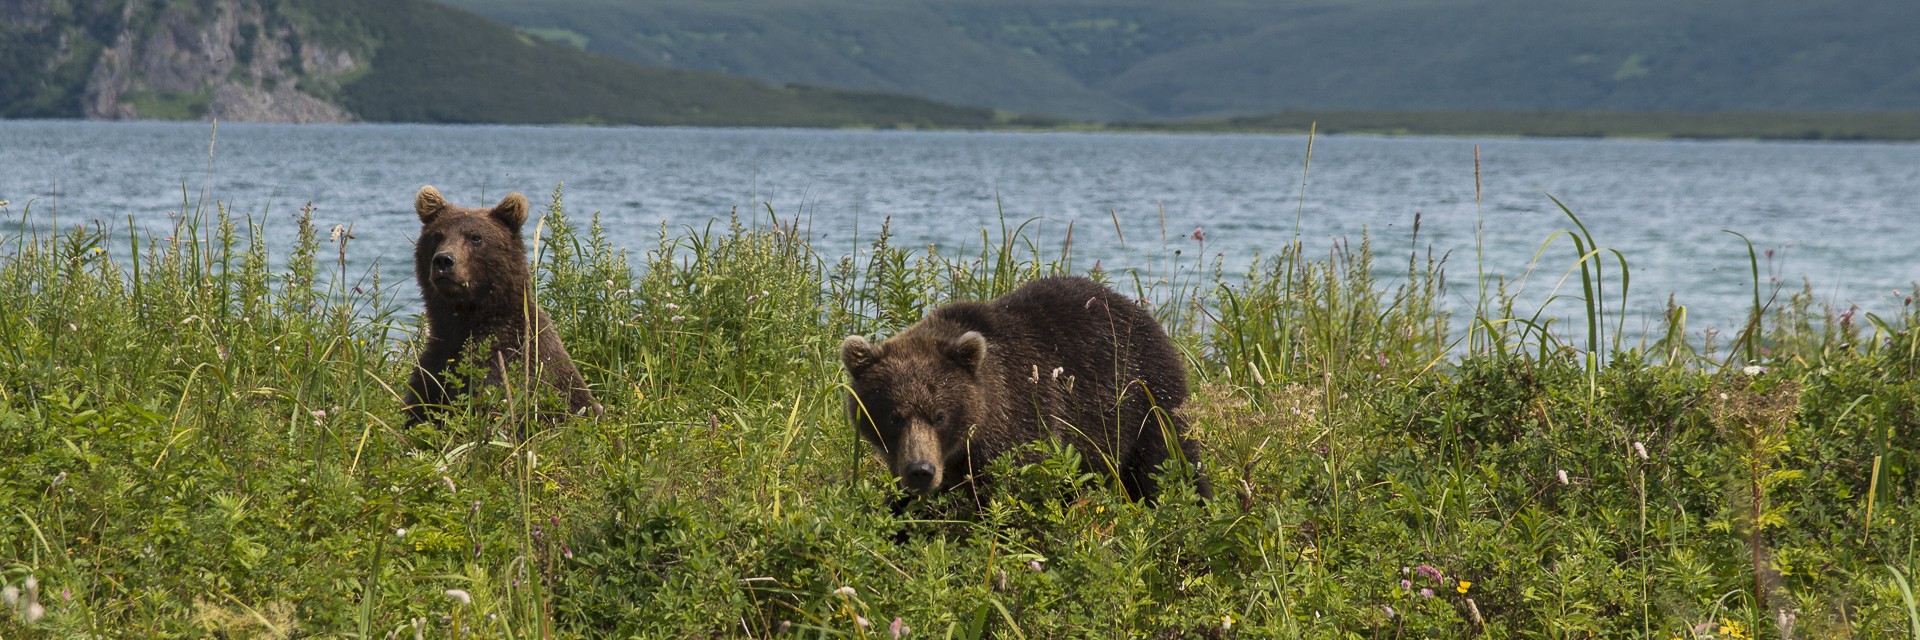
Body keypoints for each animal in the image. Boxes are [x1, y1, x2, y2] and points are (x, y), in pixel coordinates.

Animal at [410, 184, 599, 422]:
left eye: (476, 237)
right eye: (437, 235)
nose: (444, 260)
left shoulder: (509, 363)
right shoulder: (436, 363)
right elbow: (420, 407)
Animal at [840, 274, 1213, 503]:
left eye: (940, 415)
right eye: (893, 417)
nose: (921, 471)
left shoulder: (1023, 419)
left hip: (1146, 396)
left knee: (1170, 462)